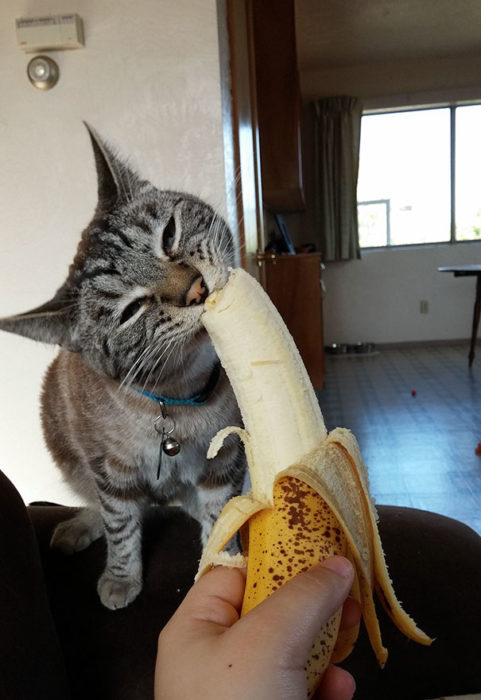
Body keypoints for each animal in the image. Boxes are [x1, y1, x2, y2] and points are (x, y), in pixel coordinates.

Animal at [0, 126, 244, 608]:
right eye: (131, 311)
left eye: (169, 236)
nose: (196, 289)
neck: (180, 397)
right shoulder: (110, 470)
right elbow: (120, 525)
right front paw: (120, 578)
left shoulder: (226, 459)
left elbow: (220, 516)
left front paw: (220, 566)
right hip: (66, 450)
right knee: (99, 504)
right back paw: (76, 529)